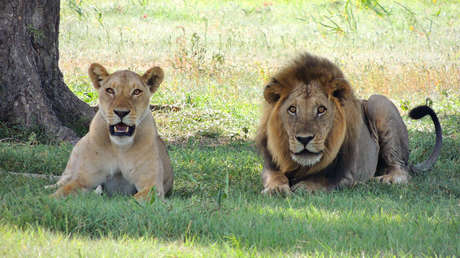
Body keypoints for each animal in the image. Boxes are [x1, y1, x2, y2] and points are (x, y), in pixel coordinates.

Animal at [50, 63, 172, 201]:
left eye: (136, 92)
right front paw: (47, 199)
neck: (120, 147)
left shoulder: (152, 186)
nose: (121, 112)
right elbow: (62, 192)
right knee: (63, 179)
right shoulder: (84, 180)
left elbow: (134, 200)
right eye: (110, 90)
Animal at [256, 52, 440, 194]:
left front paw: (305, 187)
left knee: (401, 170)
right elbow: (274, 176)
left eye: (321, 109)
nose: (304, 139)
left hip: (378, 103)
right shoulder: (270, 166)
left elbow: (324, 180)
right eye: (292, 109)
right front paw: (276, 189)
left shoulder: (348, 173)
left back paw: (384, 180)